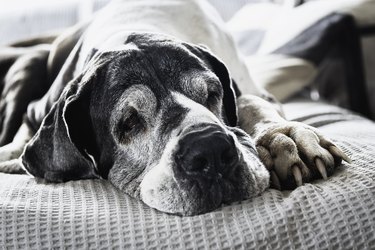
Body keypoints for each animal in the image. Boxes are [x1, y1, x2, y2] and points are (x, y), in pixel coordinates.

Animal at [0, 0, 352, 215]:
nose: (209, 150)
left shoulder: (252, 90)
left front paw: (285, 137)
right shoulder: (38, 109)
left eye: (212, 94)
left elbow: (251, 102)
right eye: (128, 122)